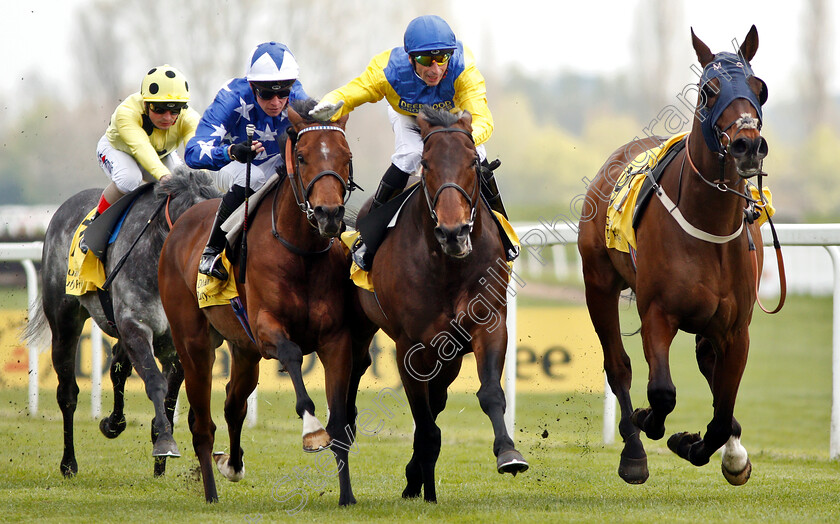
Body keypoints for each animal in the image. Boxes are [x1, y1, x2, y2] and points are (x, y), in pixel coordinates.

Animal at [158, 98, 368, 504]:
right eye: (301, 156)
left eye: (346, 156)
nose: (329, 214)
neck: (301, 253)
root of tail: (182, 224)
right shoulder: (267, 328)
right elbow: (292, 356)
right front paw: (311, 429)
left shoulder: (336, 339)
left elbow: (340, 424)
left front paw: (348, 495)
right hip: (194, 344)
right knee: (202, 424)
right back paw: (210, 492)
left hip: (244, 351)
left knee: (233, 404)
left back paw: (232, 464)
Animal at [352, 106, 524, 504]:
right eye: (426, 164)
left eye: (473, 163)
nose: (453, 232)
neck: (449, 266)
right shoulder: (410, 346)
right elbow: (424, 421)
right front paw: (420, 482)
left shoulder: (488, 325)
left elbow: (490, 393)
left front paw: (508, 453)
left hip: (449, 357)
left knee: (438, 399)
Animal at [580, 23, 772, 484]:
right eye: (708, 91)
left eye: (760, 88)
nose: (748, 145)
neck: (709, 225)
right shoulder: (657, 312)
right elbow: (662, 392)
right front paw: (650, 424)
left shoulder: (737, 329)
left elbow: (721, 411)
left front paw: (707, 447)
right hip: (598, 283)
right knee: (619, 366)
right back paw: (633, 450)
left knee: (708, 364)